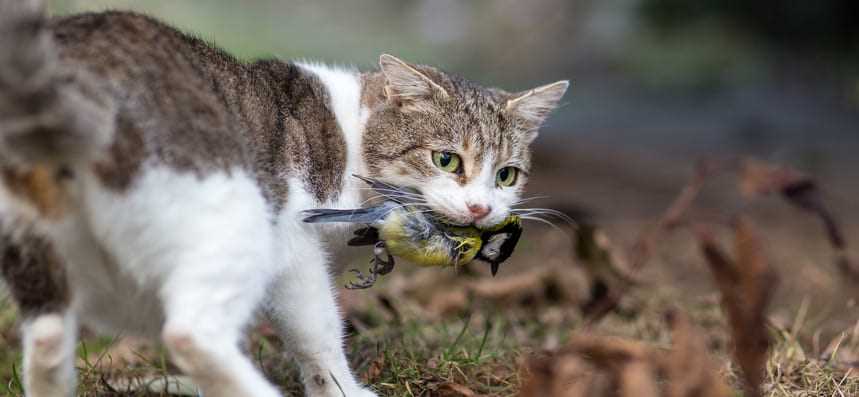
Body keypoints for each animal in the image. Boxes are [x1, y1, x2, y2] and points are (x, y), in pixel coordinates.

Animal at [0, 1, 572, 394]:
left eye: (506, 175)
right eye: (447, 160)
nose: (481, 209)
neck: (351, 136)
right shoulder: (294, 247)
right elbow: (317, 334)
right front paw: (344, 389)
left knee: (47, 343)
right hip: (237, 219)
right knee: (190, 333)